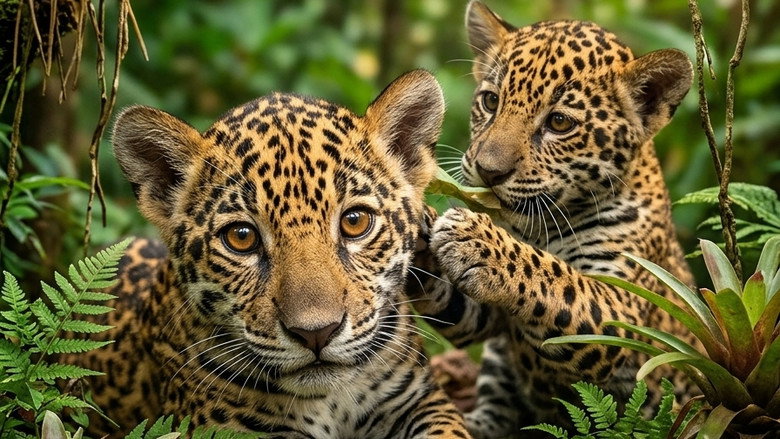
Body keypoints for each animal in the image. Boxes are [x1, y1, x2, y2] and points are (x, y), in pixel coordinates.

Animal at [410, 2, 698, 437]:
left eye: (560, 123)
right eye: (491, 101)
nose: (488, 172)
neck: (537, 228)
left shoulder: (622, 312)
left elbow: (557, 278)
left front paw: (477, 239)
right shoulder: (493, 318)